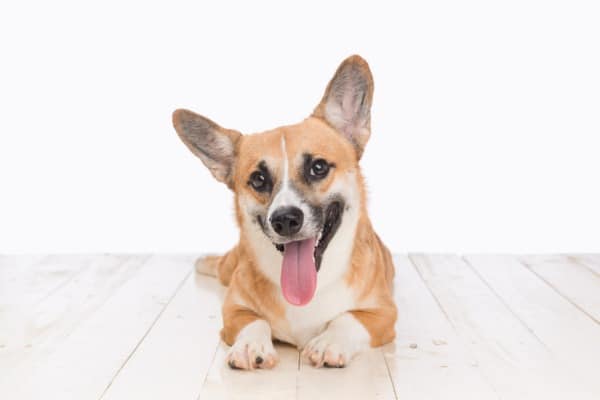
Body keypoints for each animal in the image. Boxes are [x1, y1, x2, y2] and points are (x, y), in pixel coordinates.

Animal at [171, 54, 396, 370]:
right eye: (258, 179)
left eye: (318, 167)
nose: (285, 220)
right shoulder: (233, 310)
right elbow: (255, 322)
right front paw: (250, 345)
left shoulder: (384, 313)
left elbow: (348, 319)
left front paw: (330, 342)